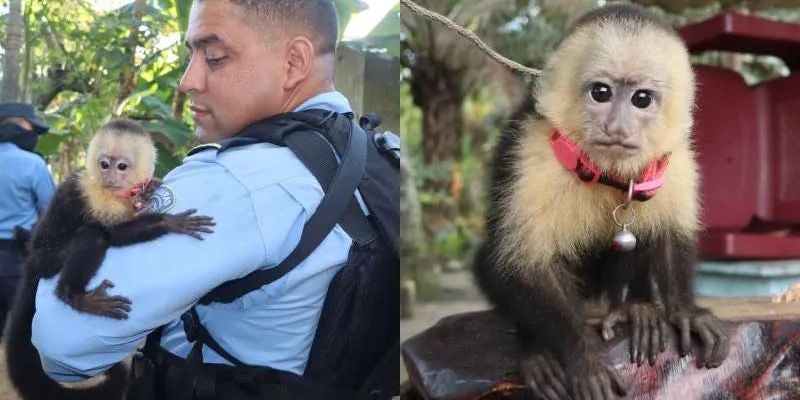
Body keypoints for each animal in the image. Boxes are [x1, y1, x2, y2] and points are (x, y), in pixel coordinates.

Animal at [3, 119, 216, 400]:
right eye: (104, 164)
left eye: (121, 166)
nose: (110, 176)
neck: (118, 194)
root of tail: (32, 263)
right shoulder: (92, 191)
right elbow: (111, 232)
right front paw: (168, 222)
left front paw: (152, 189)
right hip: (49, 260)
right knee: (92, 236)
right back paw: (74, 295)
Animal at [476, 3, 732, 400]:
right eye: (601, 92)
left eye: (641, 99)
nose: (617, 128)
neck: (605, 172)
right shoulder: (530, 147)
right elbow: (525, 264)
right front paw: (584, 356)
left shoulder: (674, 159)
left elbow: (669, 234)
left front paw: (684, 310)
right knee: (494, 258)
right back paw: (537, 351)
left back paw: (633, 308)